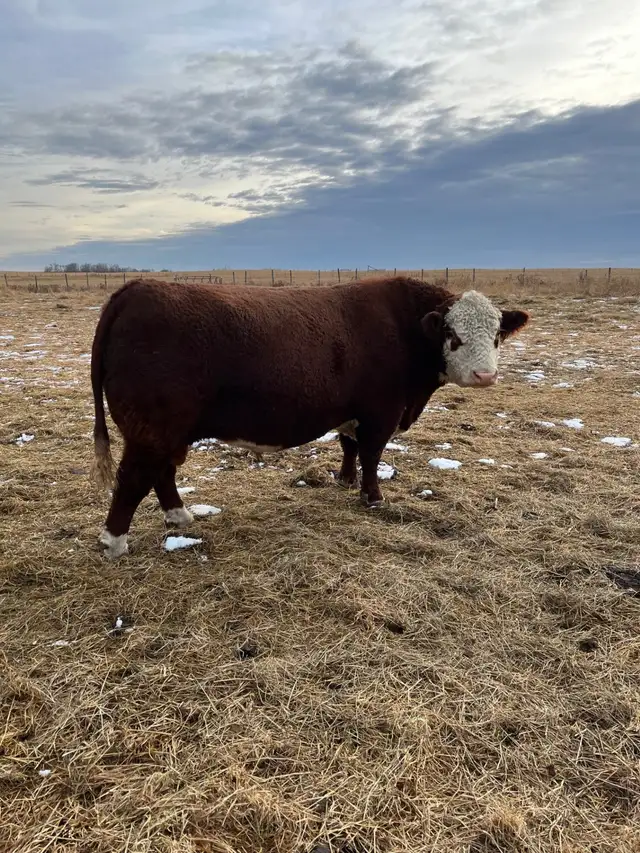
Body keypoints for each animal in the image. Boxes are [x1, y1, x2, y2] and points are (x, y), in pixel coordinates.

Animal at [89, 276, 529, 558]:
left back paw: (179, 517)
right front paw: (372, 496)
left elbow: (349, 445)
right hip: (153, 429)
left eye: (496, 336)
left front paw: (346, 480)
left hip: (168, 432)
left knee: (161, 473)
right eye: (453, 336)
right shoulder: (382, 411)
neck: (403, 328)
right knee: (135, 478)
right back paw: (114, 542)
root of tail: (135, 289)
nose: (485, 375)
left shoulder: (352, 411)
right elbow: (372, 455)